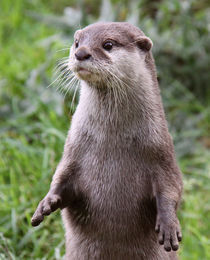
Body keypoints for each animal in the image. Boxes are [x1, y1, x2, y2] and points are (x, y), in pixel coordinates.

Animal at [30, 22, 182, 260]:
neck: (113, 140)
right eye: (77, 42)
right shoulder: (73, 149)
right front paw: (46, 202)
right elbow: (61, 178)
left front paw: (168, 226)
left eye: (108, 44)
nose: (81, 53)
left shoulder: (161, 151)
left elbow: (172, 186)